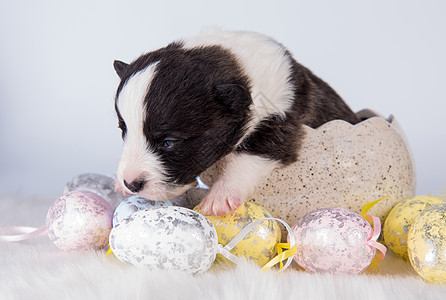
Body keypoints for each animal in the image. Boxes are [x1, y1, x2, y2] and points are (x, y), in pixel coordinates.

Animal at [113, 28, 360, 216]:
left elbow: (246, 159)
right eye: (123, 130)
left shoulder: (281, 123)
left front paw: (218, 197)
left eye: (168, 142)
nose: (131, 183)